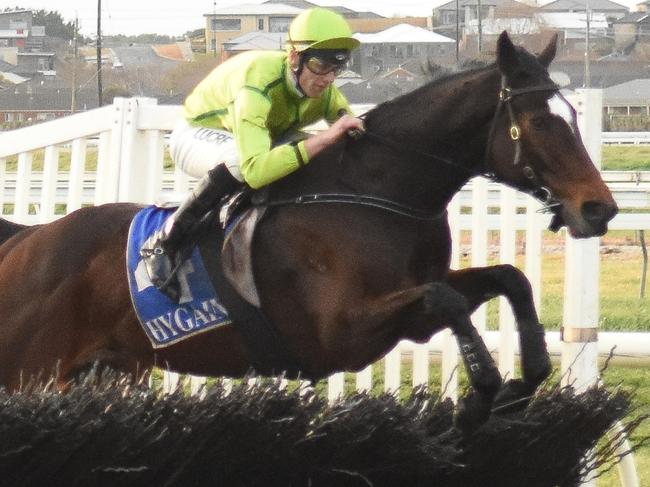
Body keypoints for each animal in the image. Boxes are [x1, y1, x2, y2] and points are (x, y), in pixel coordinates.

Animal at [0, 33, 616, 430]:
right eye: (538, 122)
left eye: (574, 116)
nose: (599, 210)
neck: (375, 194)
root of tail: (26, 241)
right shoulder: (337, 334)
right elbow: (447, 299)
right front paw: (481, 396)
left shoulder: (410, 311)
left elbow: (508, 279)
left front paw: (521, 384)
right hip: (27, 371)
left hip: (107, 371)